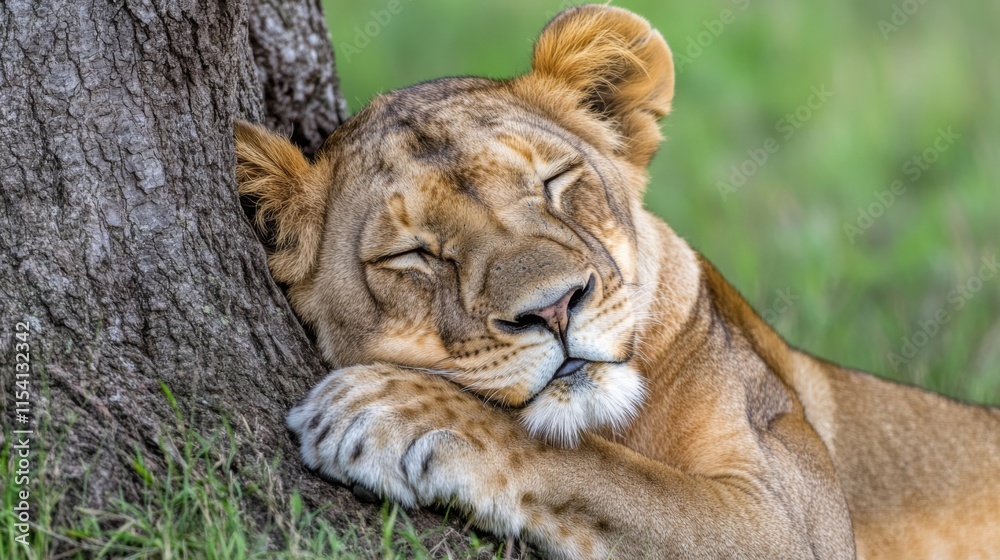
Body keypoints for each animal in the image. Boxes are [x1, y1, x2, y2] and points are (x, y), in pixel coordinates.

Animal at [234, 5, 1000, 559]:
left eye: (553, 182)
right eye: (413, 253)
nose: (554, 308)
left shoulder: (790, 522)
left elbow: (594, 466)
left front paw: (393, 411)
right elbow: (594, 460)